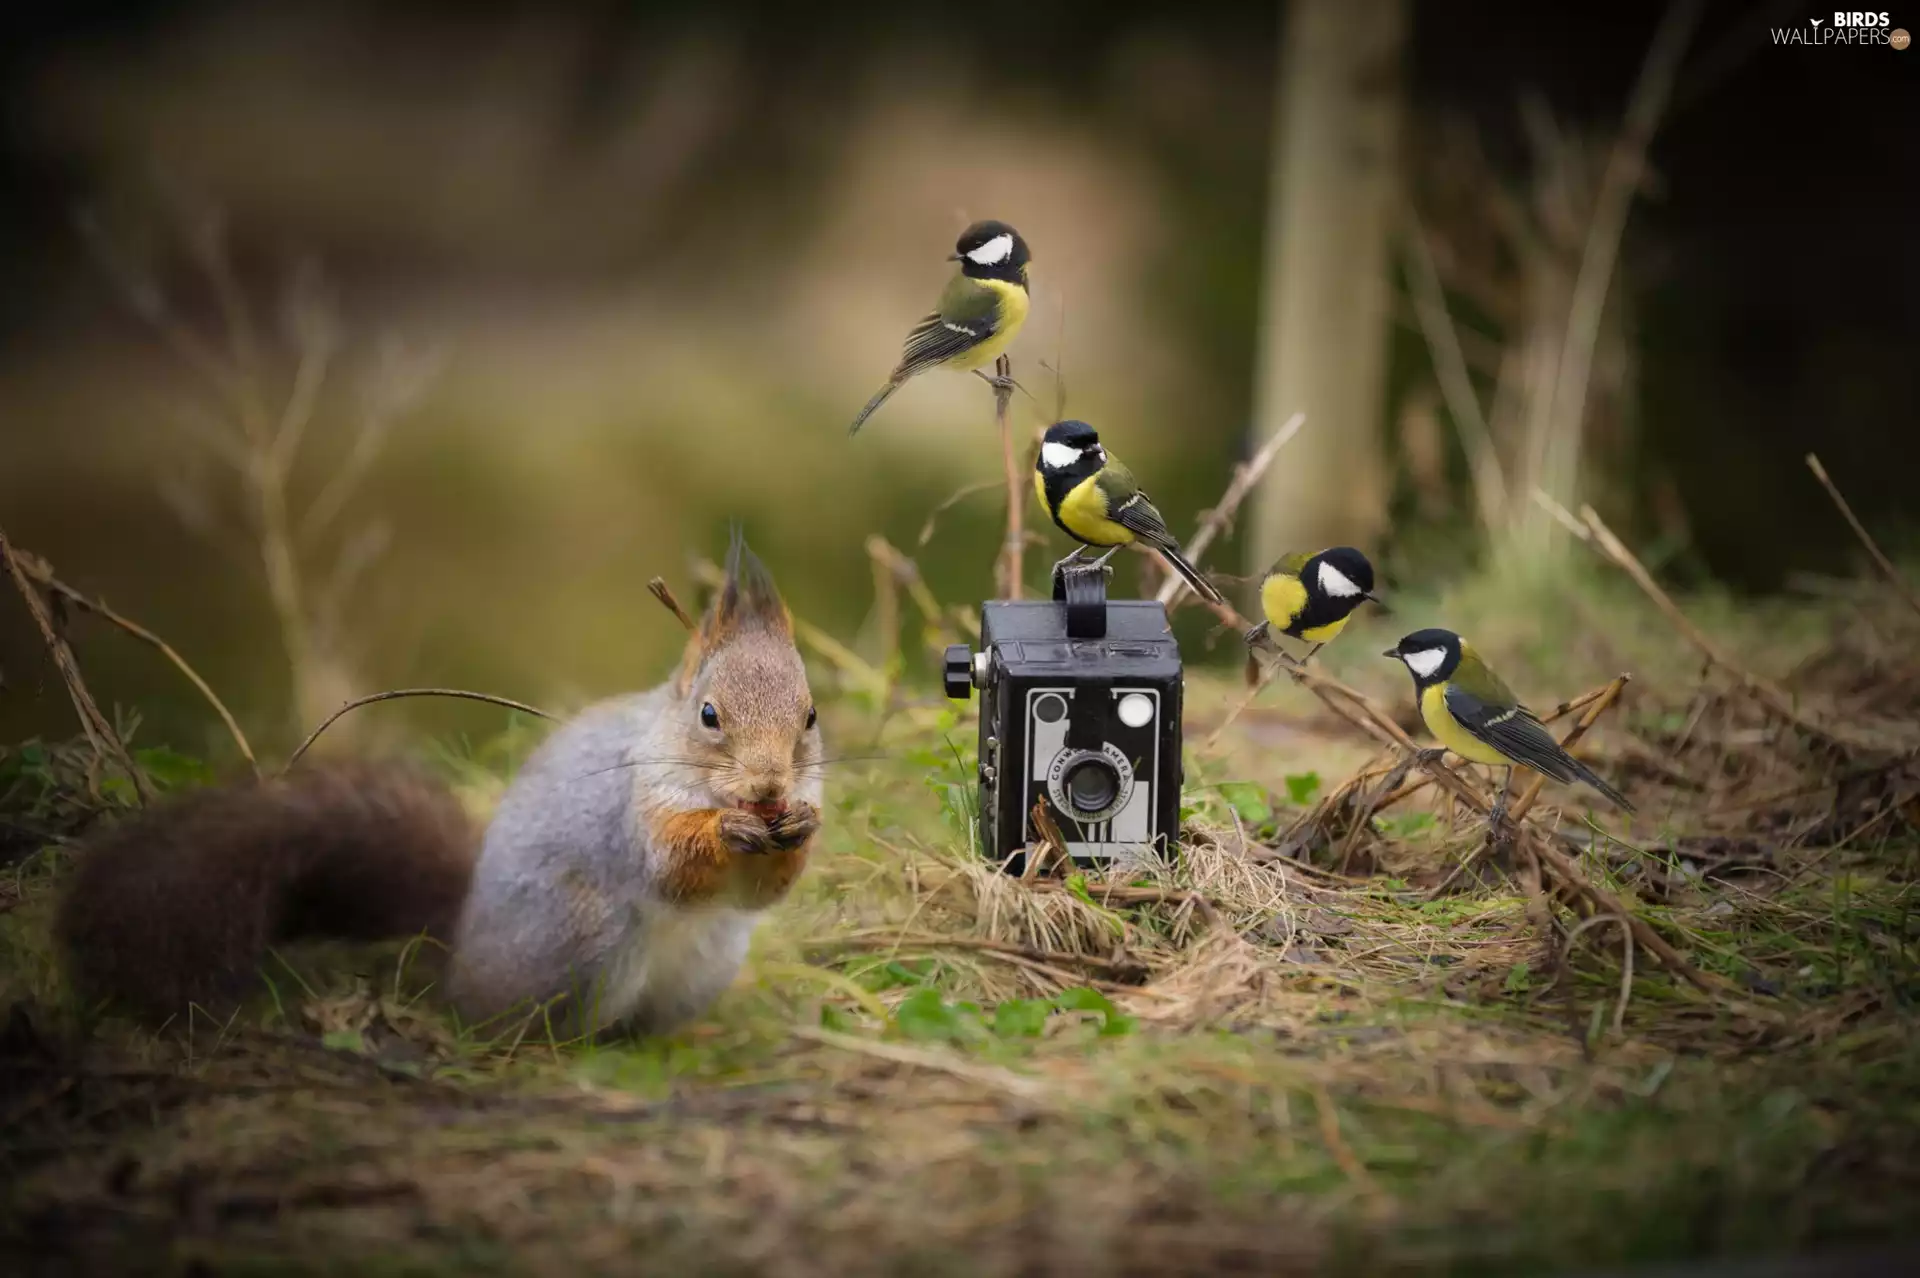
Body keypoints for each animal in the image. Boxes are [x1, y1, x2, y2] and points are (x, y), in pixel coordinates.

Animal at [55, 533, 823, 1039]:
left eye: (811, 716)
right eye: (709, 716)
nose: (768, 790)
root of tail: (459, 952)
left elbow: (761, 893)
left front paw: (799, 831)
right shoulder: (633, 809)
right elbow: (671, 866)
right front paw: (729, 831)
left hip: (704, 964)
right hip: (580, 940)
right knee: (506, 1022)